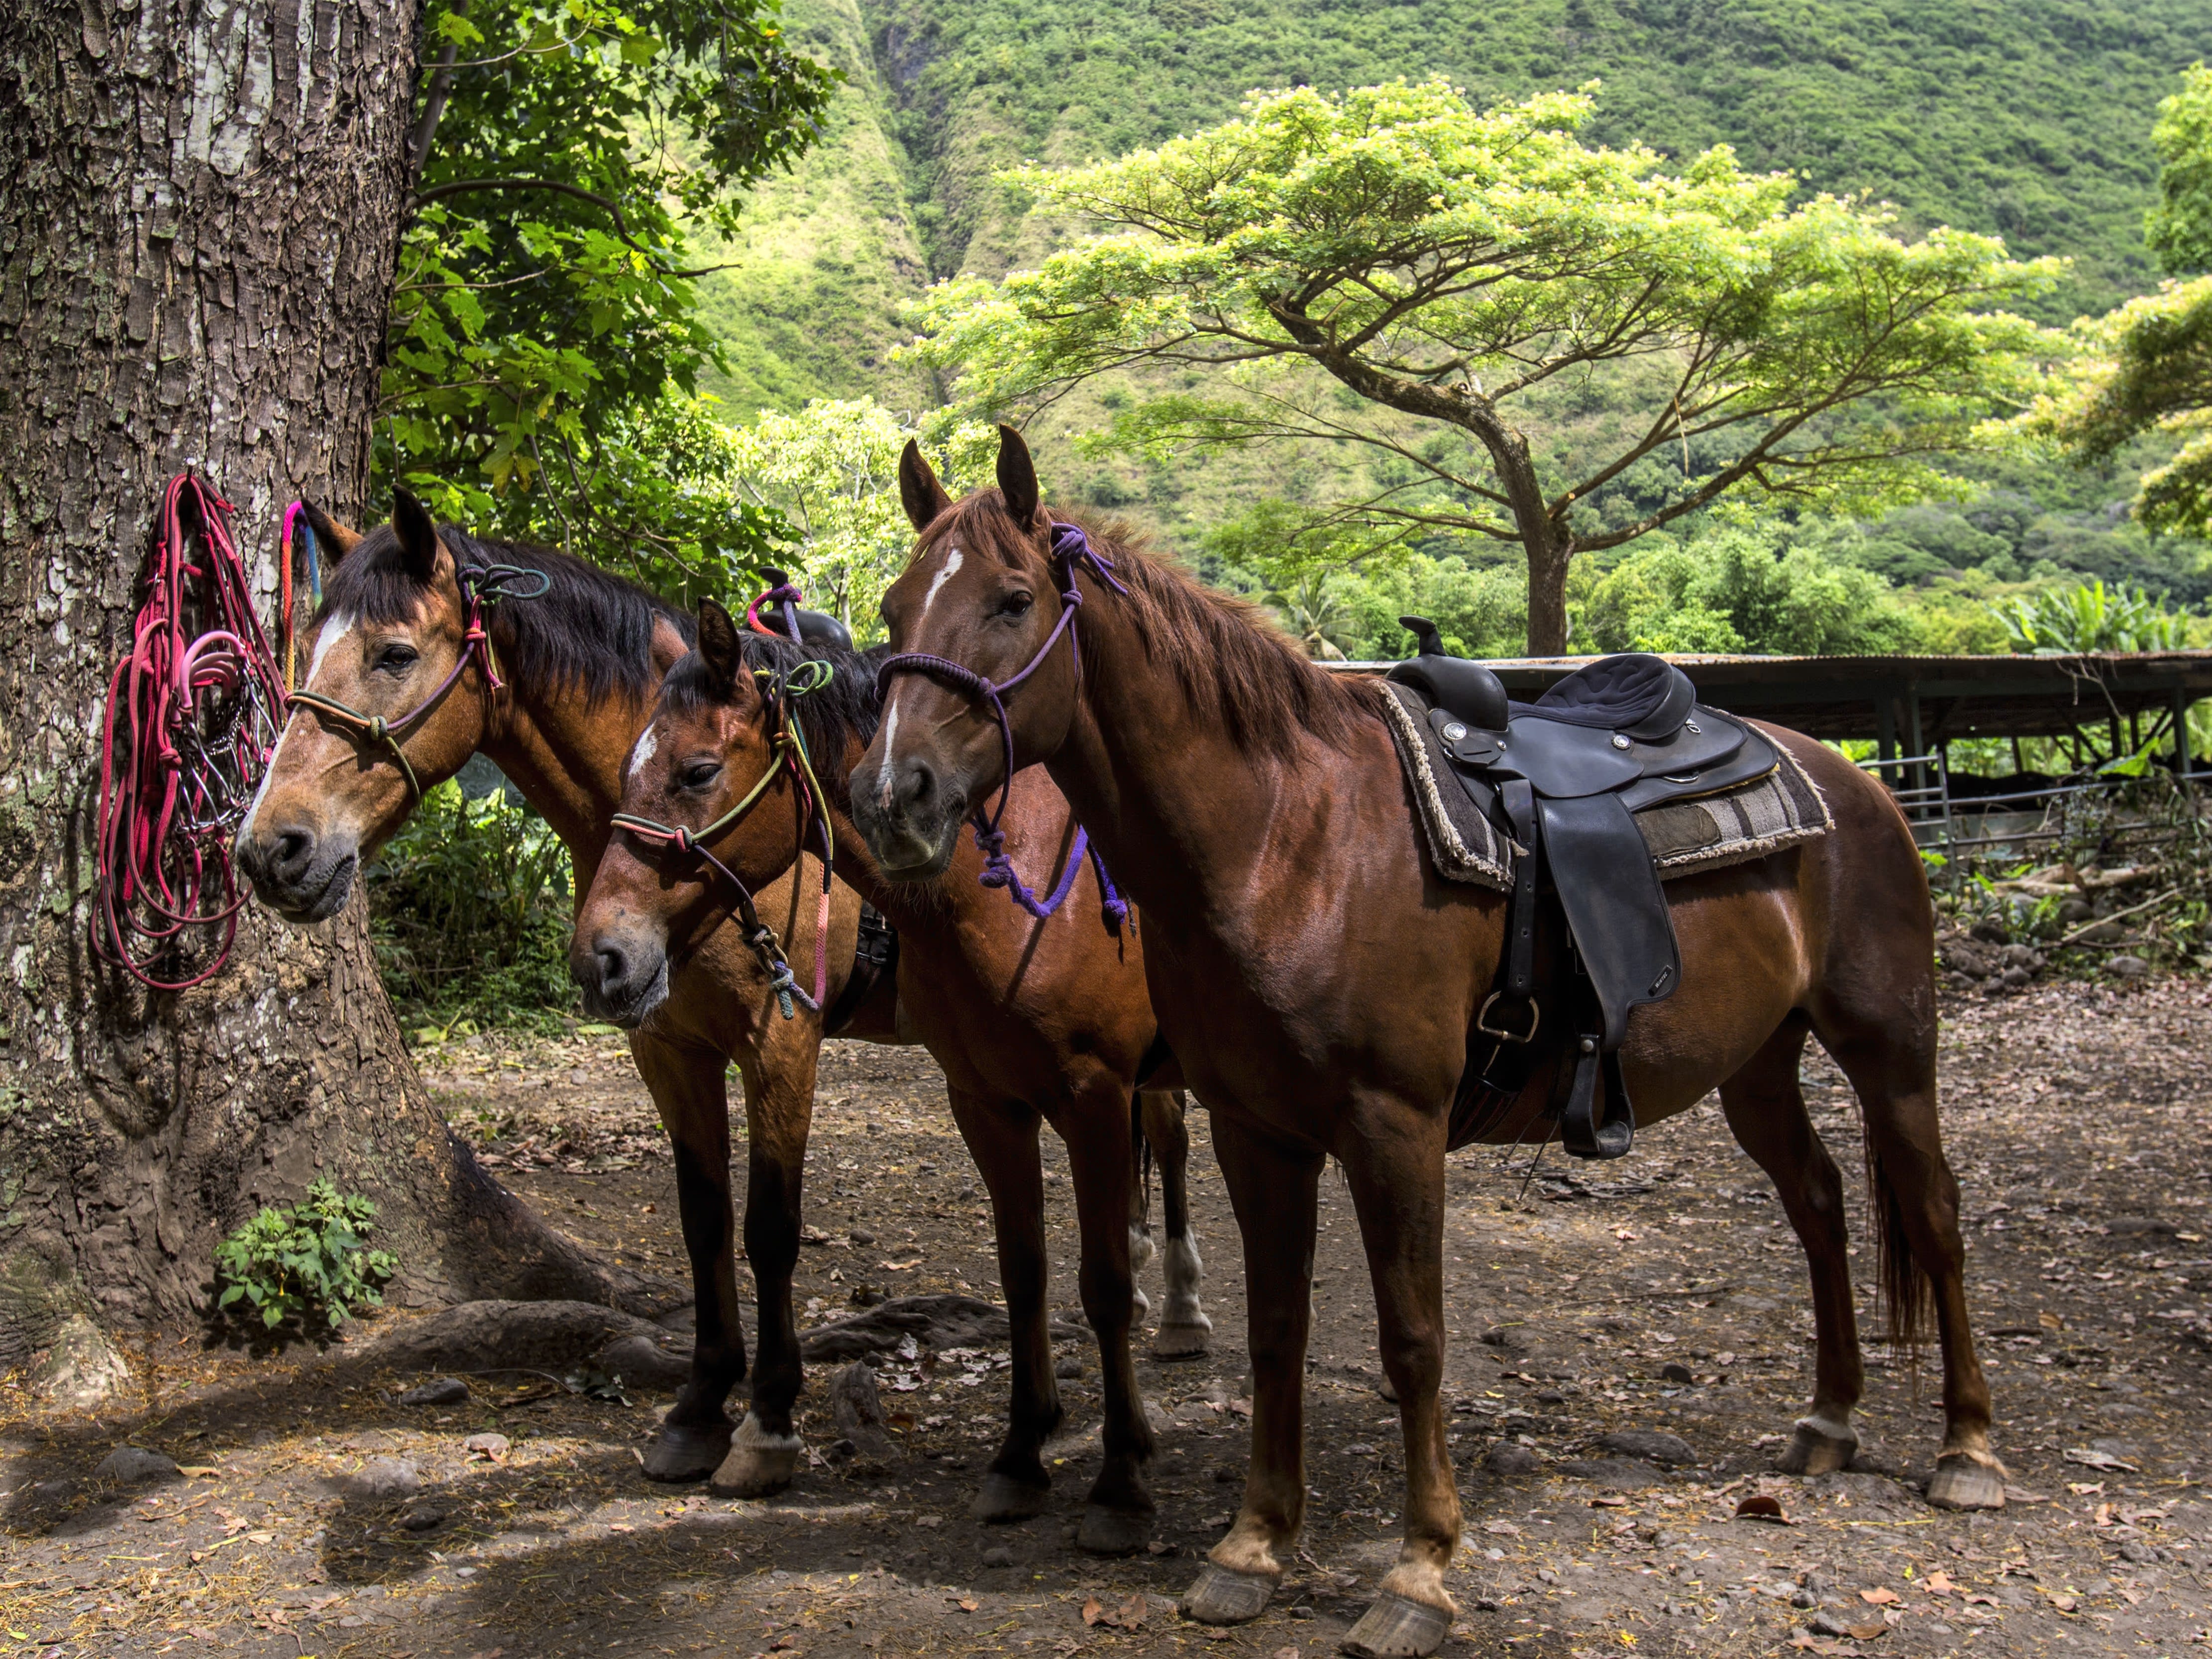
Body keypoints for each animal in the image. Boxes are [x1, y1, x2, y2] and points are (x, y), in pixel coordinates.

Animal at [235, 498, 1212, 1548]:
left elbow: (769, 1226)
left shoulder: (781, 1040)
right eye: (306, 649)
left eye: (393, 653)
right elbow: (702, 1218)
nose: (271, 848)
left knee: (1169, 1140)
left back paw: (1180, 1303)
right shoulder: (668, 1047)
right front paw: (701, 1405)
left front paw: (769, 1420)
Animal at [844, 431, 2008, 1659]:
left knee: (1932, 1213)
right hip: (1758, 1066)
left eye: (1012, 600)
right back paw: (1829, 1418)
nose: (890, 795)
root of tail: (1852, 778)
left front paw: (1418, 1571)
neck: (1282, 839)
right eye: (893, 608)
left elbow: (1413, 1341)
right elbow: (1275, 1328)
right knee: (1819, 1202)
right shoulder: (1253, 1130)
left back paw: (1966, 1449)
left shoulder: (1389, 1127)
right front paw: (1252, 1545)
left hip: (1889, 1047)